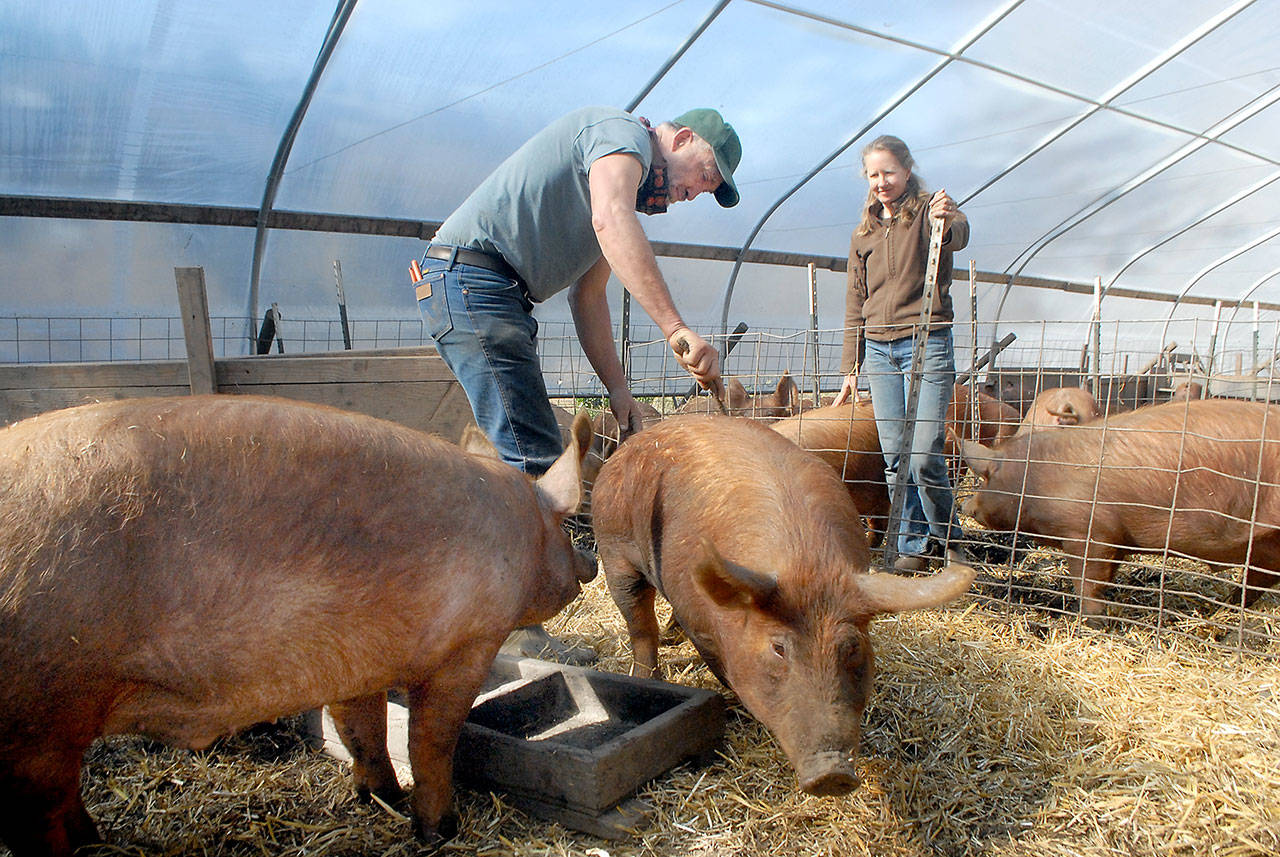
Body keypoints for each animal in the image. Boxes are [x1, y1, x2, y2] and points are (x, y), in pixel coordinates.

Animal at [0, 396, 599, 857]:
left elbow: (361, 728)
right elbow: (431, 741)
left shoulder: (357, 655)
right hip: (38, 714)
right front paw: (437, 831)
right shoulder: (468, 642)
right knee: (42, 814)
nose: (589, 563)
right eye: (565, 526)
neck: (522, 531)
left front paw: (379, 798)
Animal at [588, 416, 967, 798]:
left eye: (852, 647)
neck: (805, 564)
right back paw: (648, 674)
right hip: (614, 549)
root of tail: (635, 442)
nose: (832, 773)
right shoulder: (697, 619)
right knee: (640, 625)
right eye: (778, 648)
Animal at [962, 399, 1280, 621]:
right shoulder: (1115, 538)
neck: (1035, 480)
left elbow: (1087, 580)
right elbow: (1107, 574)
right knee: (1258, 582)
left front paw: (1090, 619)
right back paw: (1224, 608)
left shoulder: (1088, 531)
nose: (966, 505)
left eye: (986, 477)